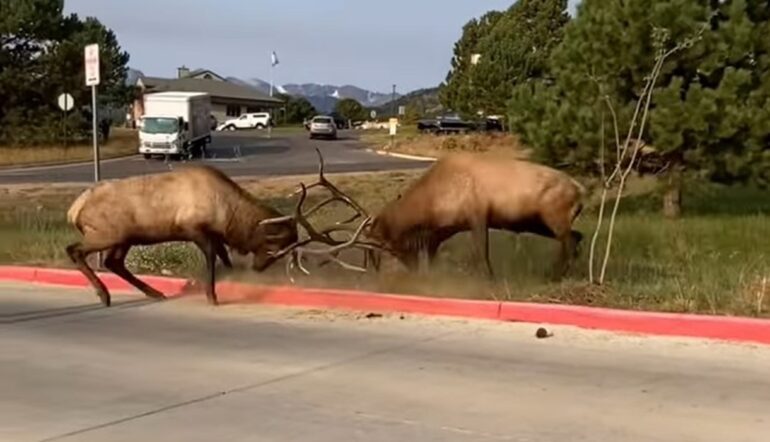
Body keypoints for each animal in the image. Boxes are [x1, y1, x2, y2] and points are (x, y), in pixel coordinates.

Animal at [65, 164, 298, 307]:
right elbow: (212, 256)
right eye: (275, 247)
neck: (228, 216)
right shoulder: (193, 228)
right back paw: (104, 295)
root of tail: (74, 210)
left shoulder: (213, 234)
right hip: (107, 234)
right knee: (74, 250)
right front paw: (212, 295)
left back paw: (154, 293)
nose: (259, 268)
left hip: (124, 238)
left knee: (113, 262)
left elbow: (224, 256)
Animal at [262, 150, 587, 282]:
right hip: (541, 222)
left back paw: (556, 275)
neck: (433, 205)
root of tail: (580, 189)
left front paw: (489, 281)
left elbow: (481, 254)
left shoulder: (477, 214)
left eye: (391, 246)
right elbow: (432, 256)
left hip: (552, 216)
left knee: (570, 240)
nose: (409, 269)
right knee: (578, 236)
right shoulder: (440, 232)